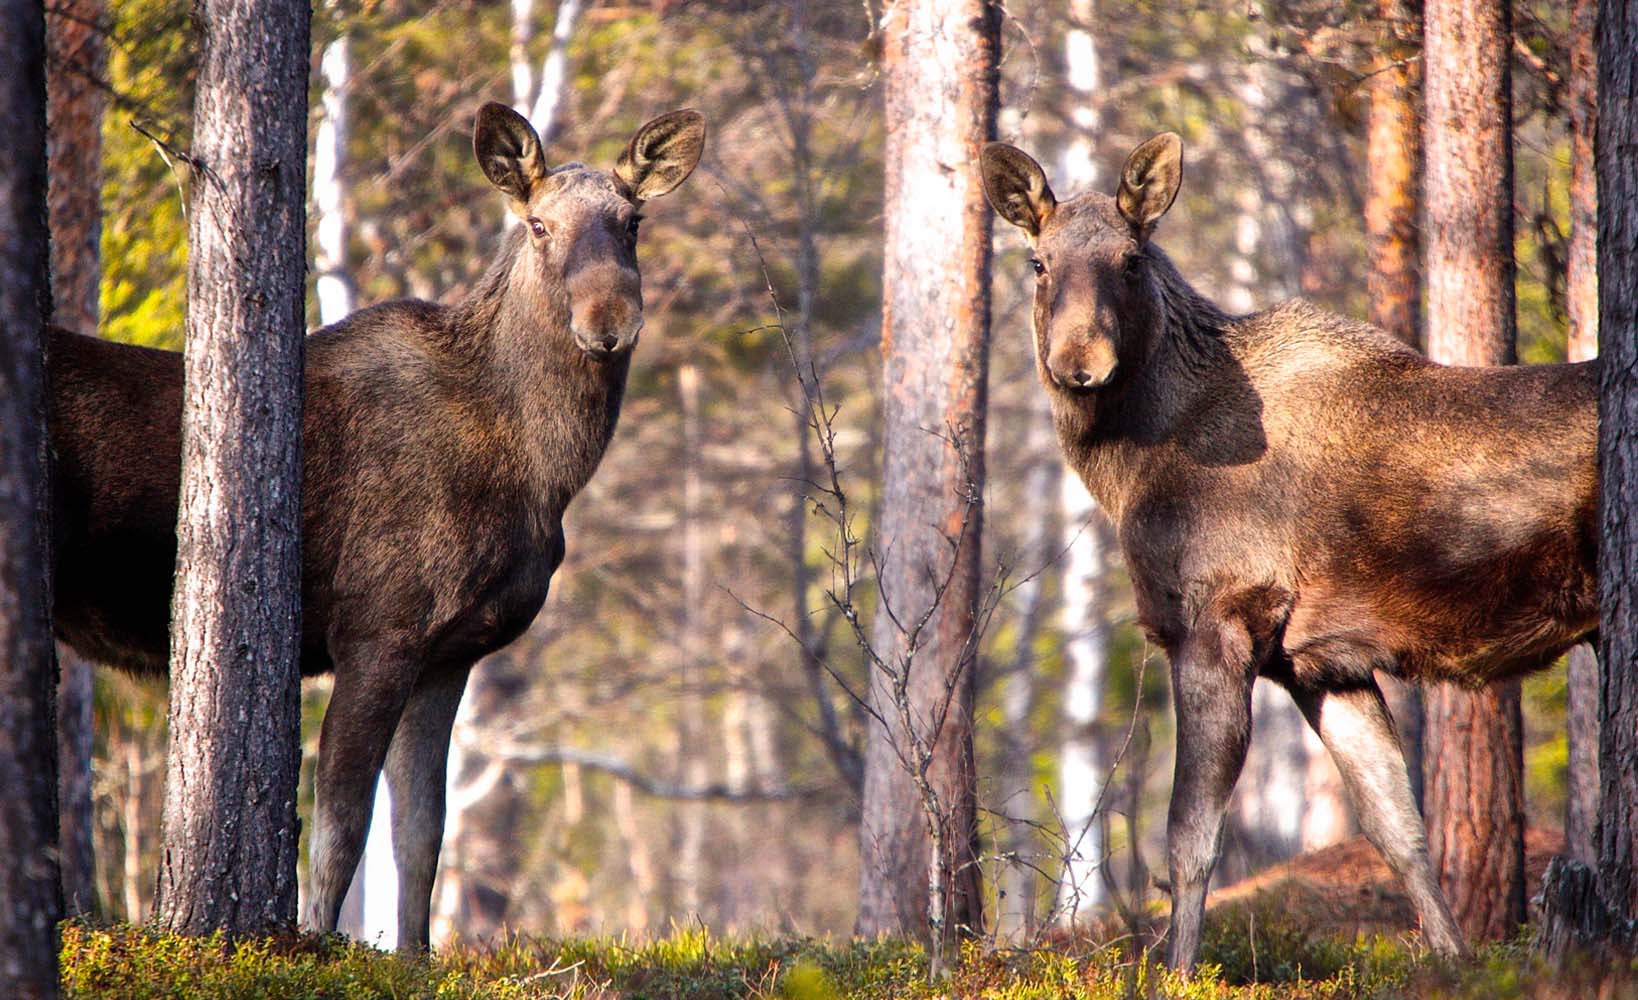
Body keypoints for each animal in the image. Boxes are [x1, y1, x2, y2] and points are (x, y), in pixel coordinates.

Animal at [49, 103, 704, 955]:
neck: (539, 475)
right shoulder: (378, 632)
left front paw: (417, 958)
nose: (610, 322)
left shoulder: (450, 654)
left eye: (632, 222)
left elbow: (422, 835)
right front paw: (319, 945)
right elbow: (340, 831)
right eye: (538, 225)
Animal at [976, 130, 1592, 968]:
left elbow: (1189, 841)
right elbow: (1399, 830)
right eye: (1037, 262)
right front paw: (1456, 963)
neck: (1131, 466)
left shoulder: (1219, 621)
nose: (1079, 364)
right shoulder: (1321, 663)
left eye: (1131, 259)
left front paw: (1177, 971)